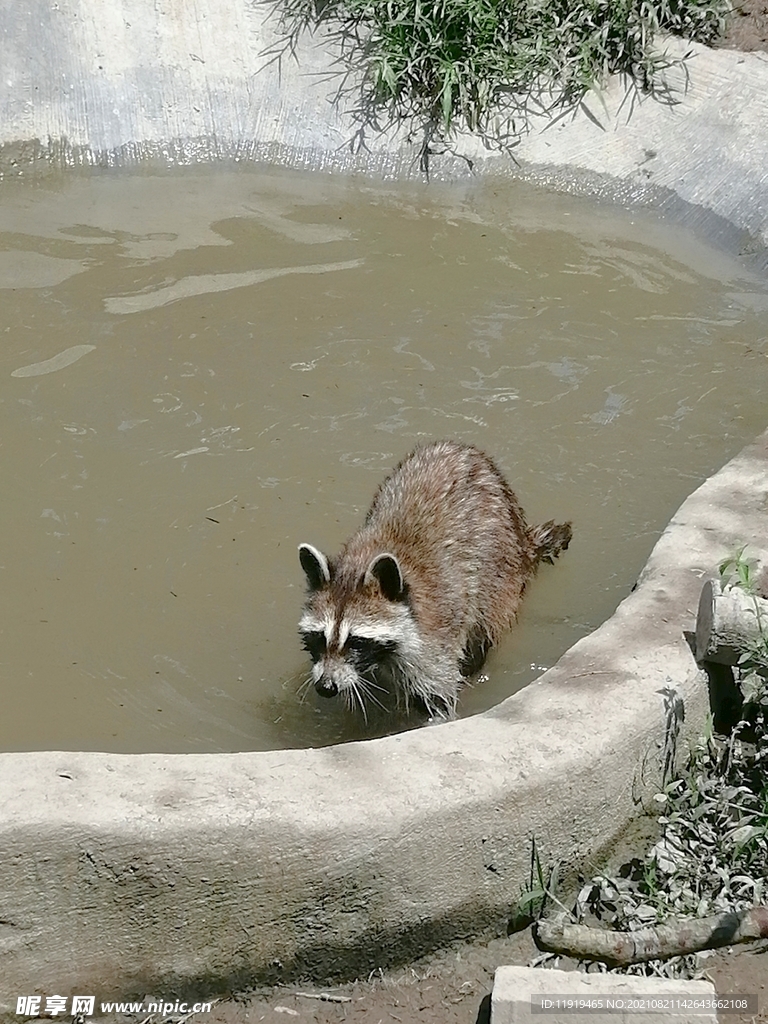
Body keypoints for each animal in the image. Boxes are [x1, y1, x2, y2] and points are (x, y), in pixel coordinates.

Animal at [296, 440, 573, 720]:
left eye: (357, 641)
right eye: (319, 637)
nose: (326, 687)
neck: (360, 564)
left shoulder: (435, 638)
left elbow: (436, 696)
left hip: (499, 572)